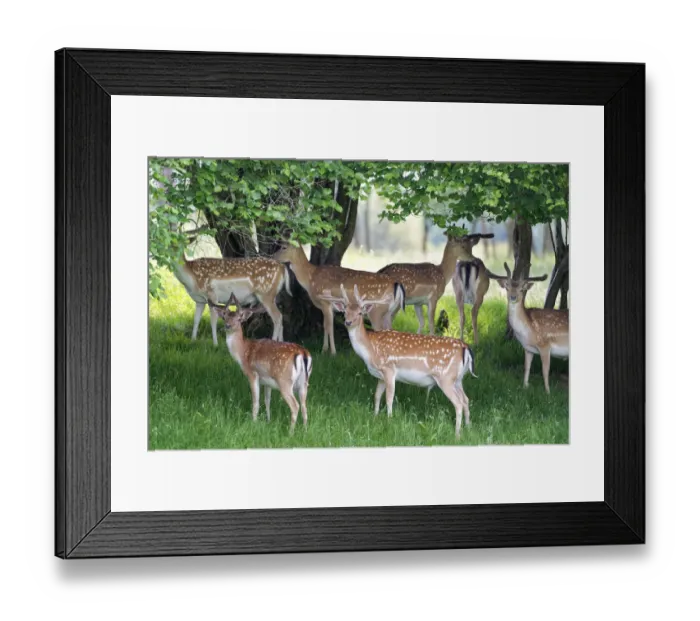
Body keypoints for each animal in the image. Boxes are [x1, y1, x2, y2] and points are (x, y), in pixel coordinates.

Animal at [209, 293, 312, 433]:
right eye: (224, 316)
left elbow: (256, 401)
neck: (243, 352)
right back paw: (305, 430)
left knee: (295, 405)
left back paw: (290, 432)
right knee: (304, 406)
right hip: (304, 382)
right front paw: (268, 421)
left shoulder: (252, 374)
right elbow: (267, 400)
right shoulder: (267, 381)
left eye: (240, 318)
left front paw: (253, 422)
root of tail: (303, 353)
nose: (228, 326)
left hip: (284, 381)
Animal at [272, 243, 405, 355]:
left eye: (284, 247)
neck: (310, 279)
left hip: (376, 310)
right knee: (390, 330)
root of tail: (396, 284)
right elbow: (325, 325)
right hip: (390, 312)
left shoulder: (326, 302)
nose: (272, 256)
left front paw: (332, 352)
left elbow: (329, 326)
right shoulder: (327, 307)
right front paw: (324, 349)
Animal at [321, 284, 477, 438]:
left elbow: (389, 398)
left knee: (458, 403)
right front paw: (375, 417)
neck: (370, 350)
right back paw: (468, 428)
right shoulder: (380, 375)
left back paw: (457, 434)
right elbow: (376, 396)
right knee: (466, 400)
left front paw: (389, 421)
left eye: (360, 313)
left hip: (446, 377)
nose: (348, 322)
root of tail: (466, 348)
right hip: (458, 379)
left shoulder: (389, 369)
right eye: (344, 312)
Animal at [491, 262, 569, 394]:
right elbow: (526, 367)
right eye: (507, 287)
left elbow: (545, 371)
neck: (527, 332)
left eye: (522, 289)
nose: (513, 297)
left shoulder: (544, 345)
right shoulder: (528, 349)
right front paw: (524, 386)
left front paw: (548, 392)